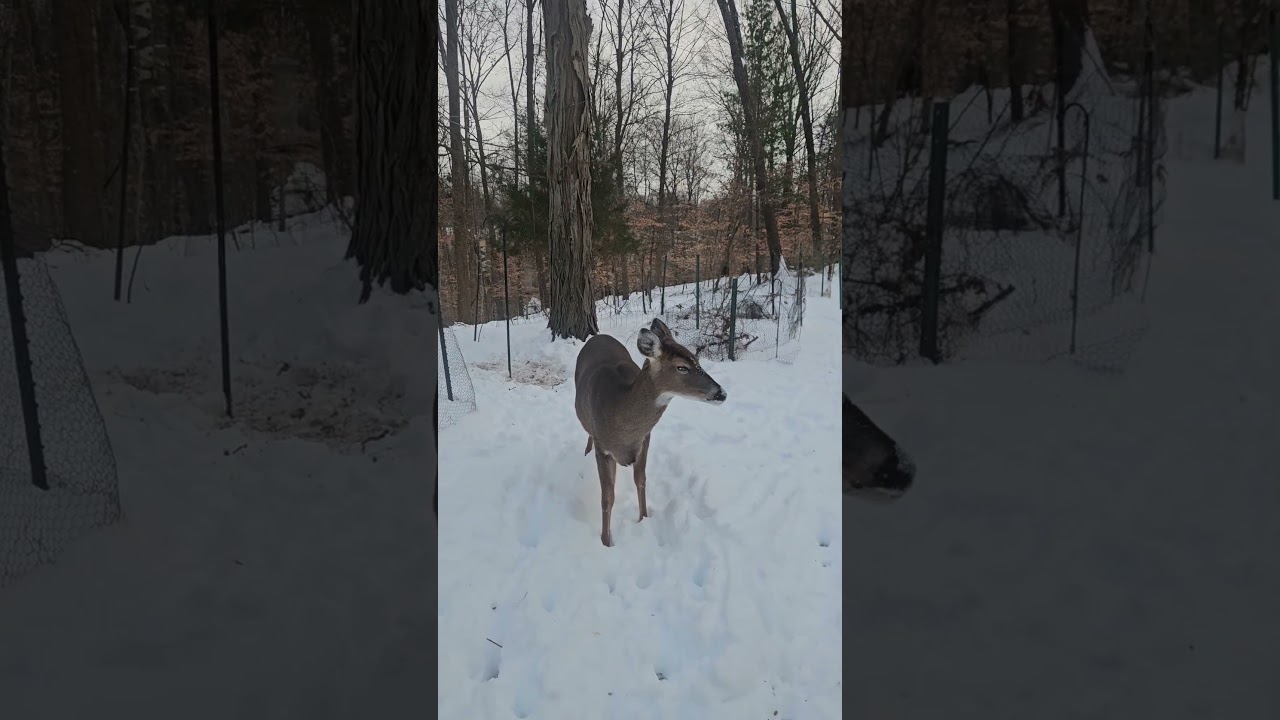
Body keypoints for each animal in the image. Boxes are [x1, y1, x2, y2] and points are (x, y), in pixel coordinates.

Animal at [574, 318, 727, 547]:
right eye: (682, 367)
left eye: (697, 359)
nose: (721, 393)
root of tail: (599, 336)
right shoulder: (603, 449)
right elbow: (607, 498)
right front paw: (605, 542)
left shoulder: (645, 439)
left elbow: (641, 481)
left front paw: (643, 519)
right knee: (588, 434)